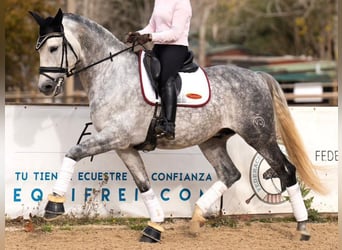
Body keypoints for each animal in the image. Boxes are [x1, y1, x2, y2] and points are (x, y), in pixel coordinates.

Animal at [30, 9, 326, 242]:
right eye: (38, 48)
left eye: (53, 48)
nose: (44, 87)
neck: (112, 74)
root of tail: (256, 75)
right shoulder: (124, 146)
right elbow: (143, 184)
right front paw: (155, 227)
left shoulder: (115, 136)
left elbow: (74, 152)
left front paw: (53, 207)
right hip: (212, 140)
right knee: (230, 174)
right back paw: (196, 218)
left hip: (258, 135)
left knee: (286, 170)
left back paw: (302, 228)